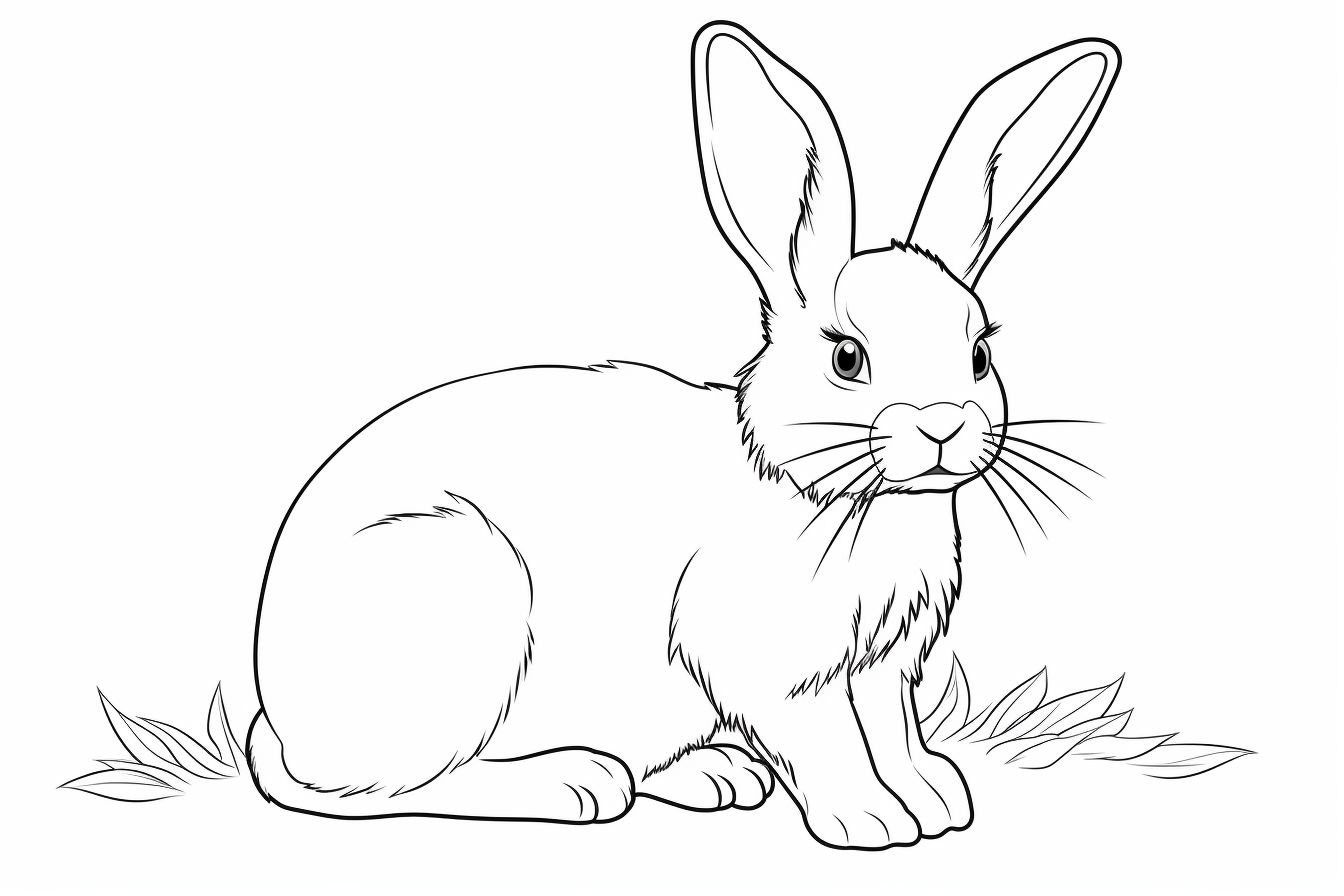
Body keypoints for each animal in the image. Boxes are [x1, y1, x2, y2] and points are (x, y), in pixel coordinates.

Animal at [245, 21, 1120, 849]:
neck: (851, 497)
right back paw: (578, 783)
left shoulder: (882, 669)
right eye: (847, 357)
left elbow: (894, 735)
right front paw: (871, 821)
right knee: (389, 789)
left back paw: (715, 776)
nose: (944, 425)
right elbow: (830, 742)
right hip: (457, 610)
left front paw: (936, 801)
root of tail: (281, 720)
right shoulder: (772, 665)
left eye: (979, 354)